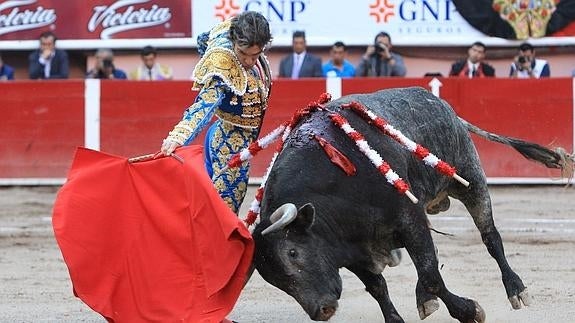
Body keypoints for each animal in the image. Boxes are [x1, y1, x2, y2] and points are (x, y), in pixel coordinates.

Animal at [251, 88, 572, 323]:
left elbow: (431, 277)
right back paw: (426, 301)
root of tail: (443, 105)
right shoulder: (346, 244)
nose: (322, 311)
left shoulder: (409, 219)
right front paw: (397, 318)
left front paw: (470, 311)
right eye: (274, 280)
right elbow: (379, 286)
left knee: (490, 237)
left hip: (470, 179)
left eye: (293, 252)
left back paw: (516, 289)